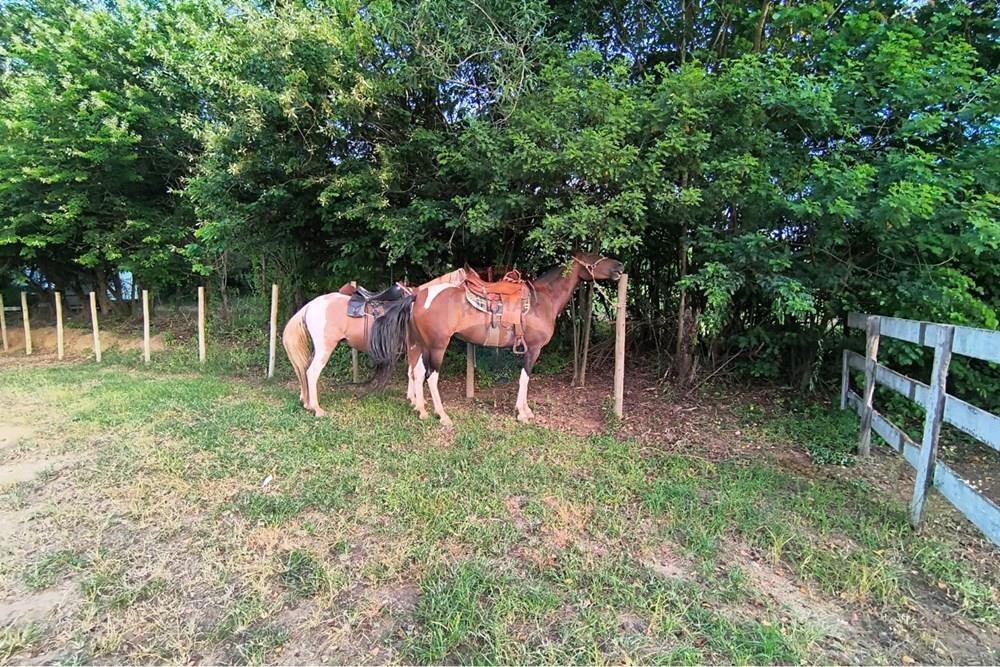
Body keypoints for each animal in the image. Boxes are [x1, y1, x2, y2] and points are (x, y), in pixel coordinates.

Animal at [282, 281, 409, 416]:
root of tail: (309, 306)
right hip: (325, 349)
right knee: (312, 372)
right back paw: (317, 409)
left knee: (305, 368)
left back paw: (307, 403)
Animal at [371, 251, 624, 426]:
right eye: (593, 256)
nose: (619, 266)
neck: (542, 300)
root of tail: (418, 295)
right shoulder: (533, 349)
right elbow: (525, 379)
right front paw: (523, 413)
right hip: (437, 346)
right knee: (431, 376)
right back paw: (442, 416)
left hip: (420, 343)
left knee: (417, 371)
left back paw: (421, 410)